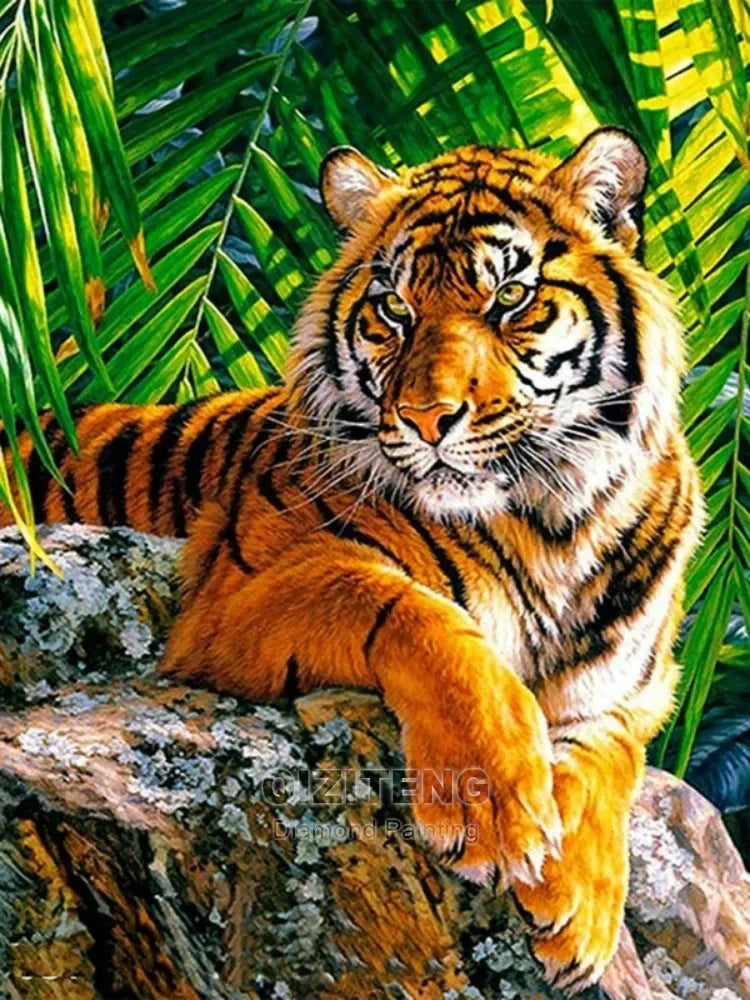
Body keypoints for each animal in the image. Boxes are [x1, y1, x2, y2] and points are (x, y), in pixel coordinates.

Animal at [1, 128, 703, 995]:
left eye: (511, 299)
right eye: (395, 310)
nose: (429, 419)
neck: (552, 518)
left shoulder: (634, 688)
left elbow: (612, 755)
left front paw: (583, 907)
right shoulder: (237, 594)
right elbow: (417, 616)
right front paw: (491, 803)